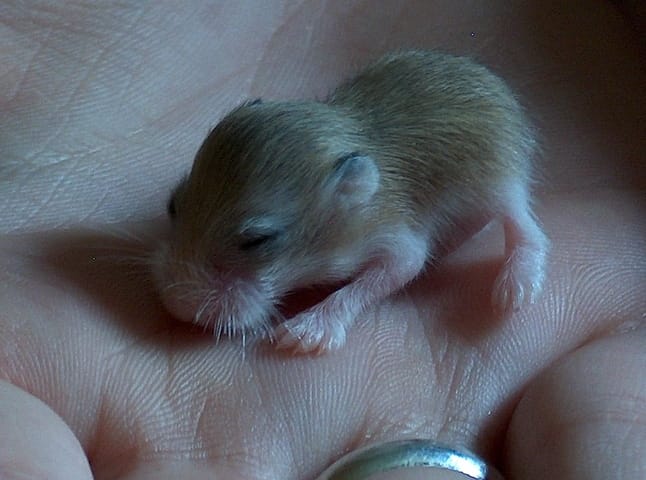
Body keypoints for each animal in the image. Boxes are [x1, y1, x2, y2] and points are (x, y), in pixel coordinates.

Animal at [154, 50, 549, 354]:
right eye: (173, 205)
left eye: (257, 241)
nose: (176, 307)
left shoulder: (393, 235)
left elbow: (397, 269)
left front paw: (302, 335)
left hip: (500, 180)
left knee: (525, 227)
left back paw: (515, 287)